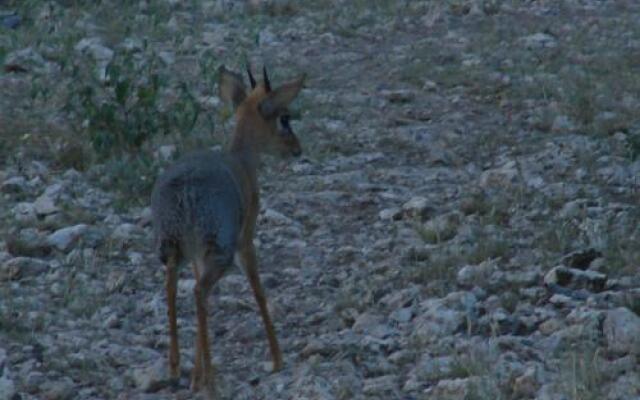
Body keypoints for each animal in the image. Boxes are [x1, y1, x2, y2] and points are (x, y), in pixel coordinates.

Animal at [150, 64, 304, 396]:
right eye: (284, 118)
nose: (297, 149)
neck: (242, 160)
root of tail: (185, 191)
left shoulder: (198, 256)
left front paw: (195, 375)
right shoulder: (246, 239)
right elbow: (258, 289)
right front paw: (277, 358)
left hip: (174, 248)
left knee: (174, 288)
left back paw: (176, 369)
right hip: (221, 250)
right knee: (198, 291)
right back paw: (210, 377)